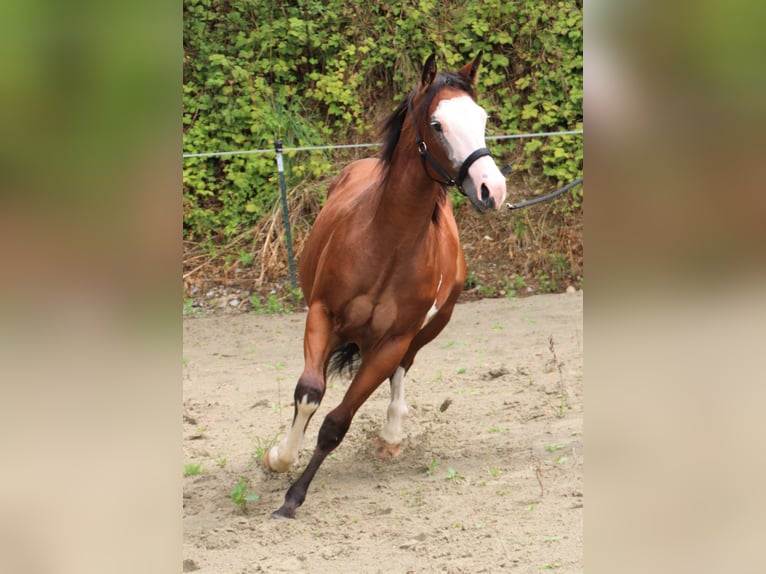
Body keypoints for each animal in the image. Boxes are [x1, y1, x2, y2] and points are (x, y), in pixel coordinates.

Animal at [264, 55, 510, 520]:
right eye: (436, 124)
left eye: (483, 118)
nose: (493, 189)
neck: (386, 243)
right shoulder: (321, 315)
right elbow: (309, 394)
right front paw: (279, 458)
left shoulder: (391, 343)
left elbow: (336, 423)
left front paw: (293, 497)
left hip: (426, 330)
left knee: (403, 370)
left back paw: (392, 436)